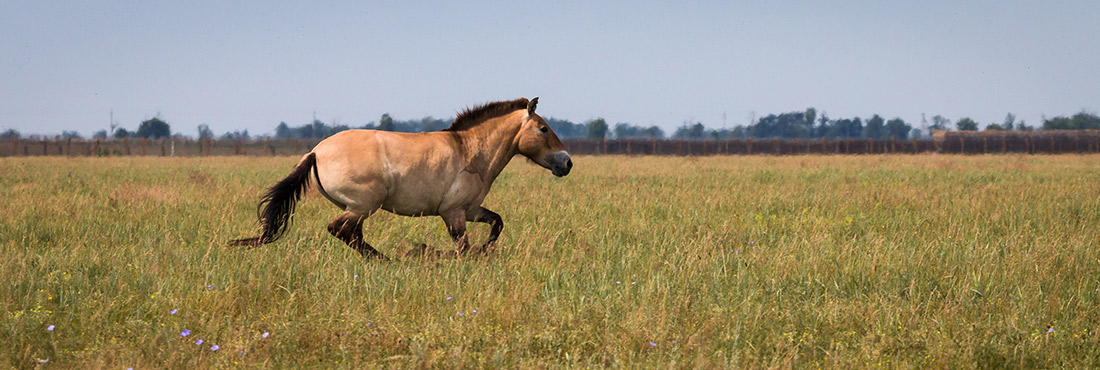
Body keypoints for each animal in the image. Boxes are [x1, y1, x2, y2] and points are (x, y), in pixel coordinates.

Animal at [233, 96, 576, 258]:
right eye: (543, 129)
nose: (567, 163)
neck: (470, 152)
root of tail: (315, 152)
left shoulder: (470, 210)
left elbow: (497, 224)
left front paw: (480, 250)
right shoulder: (453, 213)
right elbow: (462, 247)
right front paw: (434, 253)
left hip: (358, 208)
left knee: (352, 234)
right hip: (363, 205)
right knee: (340, 230)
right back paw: (387, 260)